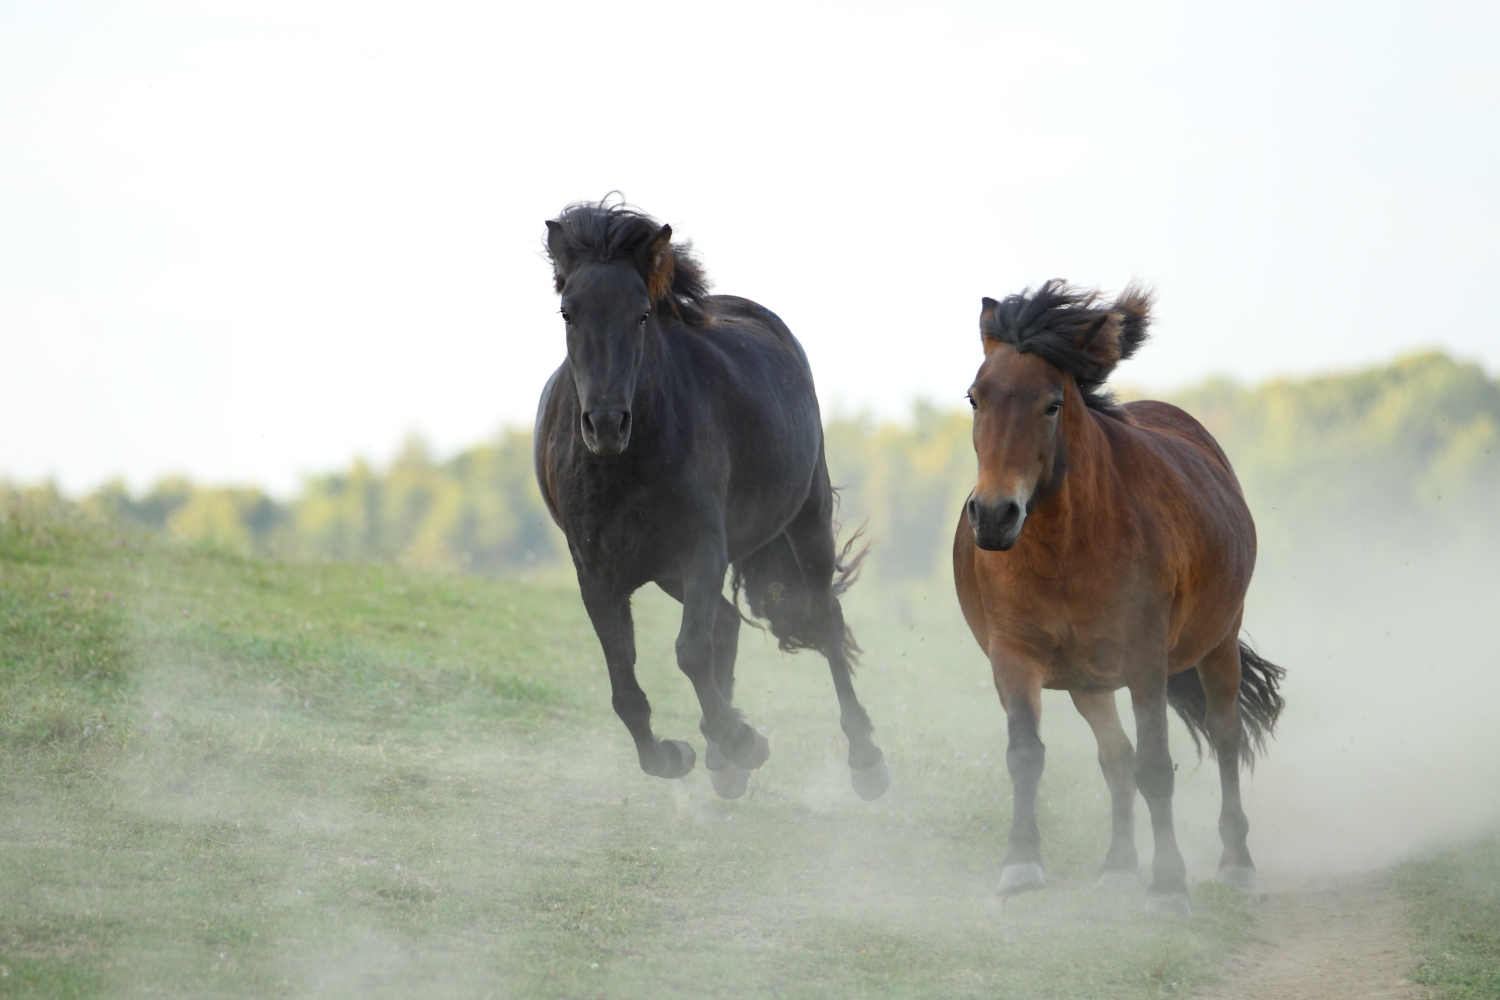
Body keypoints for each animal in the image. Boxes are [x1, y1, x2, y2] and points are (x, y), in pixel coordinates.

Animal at [537, 199, 888, 803]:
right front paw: (675, 754)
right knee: (727, 622)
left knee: (822, 618)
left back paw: (863, 760)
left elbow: (690, 651)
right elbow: (624, 685)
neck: (624, 467)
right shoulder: (597, 574)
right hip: (664, 571)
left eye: (641, 315)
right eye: (567, 313)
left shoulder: (702, 549)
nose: (605, 424)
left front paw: (743, 741)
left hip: (805, 522)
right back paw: (723, 761)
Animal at [954, 281, 1284, 917]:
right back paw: (1118, 866)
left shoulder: (1145, 660)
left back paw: (1236, 862)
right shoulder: (1014, 658)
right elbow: (1028, 756)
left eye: (1052, 404)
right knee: (1115, 757)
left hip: (1218, 645)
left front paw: (1169, 885)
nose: (995, 515)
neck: (1065, 548)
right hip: (1089, 681)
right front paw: (1020, 866)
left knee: (1226, 736)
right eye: (975, 398)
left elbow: (1157, 766)